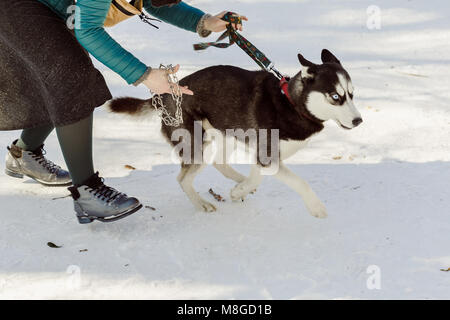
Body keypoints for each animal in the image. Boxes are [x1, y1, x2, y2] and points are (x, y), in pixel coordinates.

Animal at [109, 50, 362, 219]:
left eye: (351, 94)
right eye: (335, 96)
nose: (359, 121)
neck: (292, 104)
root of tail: (165, 94)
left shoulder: (263, 154)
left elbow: (257, 175)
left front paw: (241, 188)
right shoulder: (267, 155)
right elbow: (299, 182)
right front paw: (316, 207)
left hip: (226, 132)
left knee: (219, 163)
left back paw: (238, 182)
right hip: (197, 145)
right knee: (183, 179)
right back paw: (202, 204)